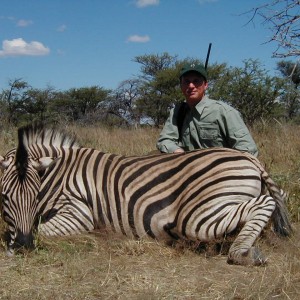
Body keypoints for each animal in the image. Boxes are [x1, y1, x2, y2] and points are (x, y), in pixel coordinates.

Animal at [0, 123, 292, 264]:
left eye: (35, 196)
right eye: (5, 198)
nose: (23, 247)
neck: (58, 174)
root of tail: (250, 159)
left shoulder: (78, 212)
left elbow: (42, 230)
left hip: (197, 216)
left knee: (264, 202)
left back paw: (242, 253)